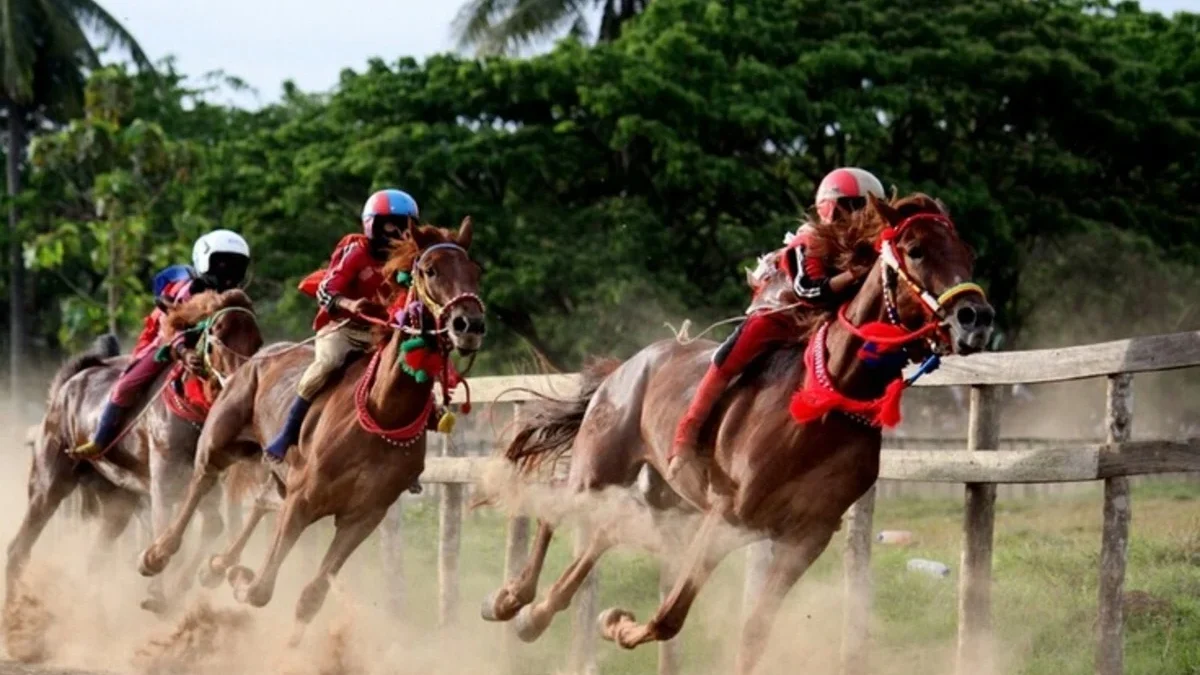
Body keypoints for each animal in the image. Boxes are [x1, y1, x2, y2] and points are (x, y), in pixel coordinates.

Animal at [8, 285, 262, 612]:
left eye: (257, 340)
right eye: (217, 333)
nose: (238, 382)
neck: (191, 409)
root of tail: (66, 386)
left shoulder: (205, 481)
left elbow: (213, 526)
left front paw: (183, 585)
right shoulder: (164, 480)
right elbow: (164, 527)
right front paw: (156, 580)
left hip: (116, 501)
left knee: (95, 559)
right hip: (49, 483)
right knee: (19, 549)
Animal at [142, 216, 489, 638]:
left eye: (475, 271)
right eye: (430, 270)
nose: (469, 323)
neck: (382, 411)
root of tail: (251, 359)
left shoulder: (364, 515)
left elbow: (311, 595)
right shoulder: (304, 497)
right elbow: (261, 587)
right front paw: (238, 579)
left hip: (272, 469)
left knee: (259, 501)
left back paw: (217, 564)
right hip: (220, 442)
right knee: (201, 482)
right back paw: (158, 556)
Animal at [477, 194, 993, 672]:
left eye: (968, 253)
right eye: (915, 249)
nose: (976, 318)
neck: (826, 402)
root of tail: (622, 368)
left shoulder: (804, 537)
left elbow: (753, 632)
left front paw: (614, 621)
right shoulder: (727, 514)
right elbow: (670, 616)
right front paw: (617, 623)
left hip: (668, 499)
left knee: (600, 536)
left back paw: (533, 616)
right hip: (600, 467)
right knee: (555, 508)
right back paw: (508, 601)